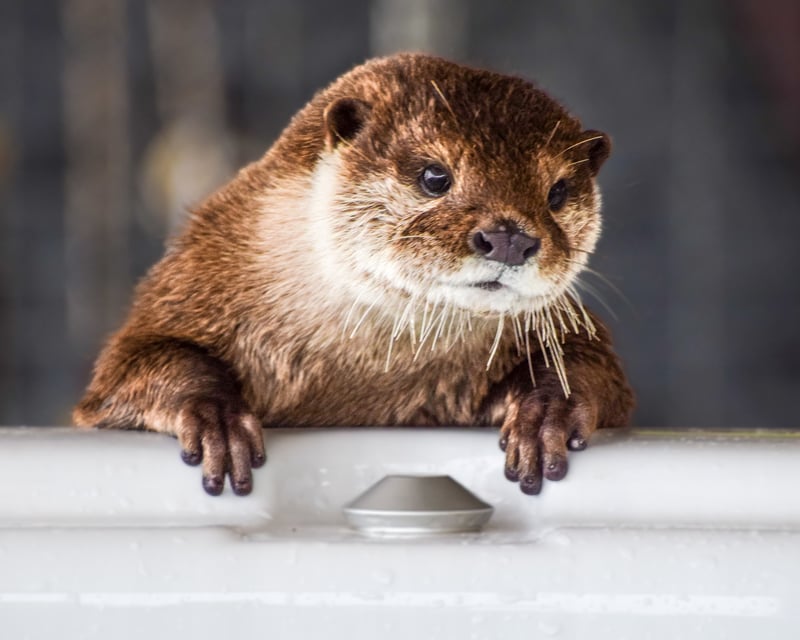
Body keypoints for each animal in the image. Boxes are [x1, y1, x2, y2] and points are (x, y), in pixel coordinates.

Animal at [74, 53, 634, 497]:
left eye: (557, 192)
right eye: (435, 176)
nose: (511, 238)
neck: (361, 371)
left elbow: (589, 364)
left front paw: (547, 413)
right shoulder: (189, 281)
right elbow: (142, 359)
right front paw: (216, 419)